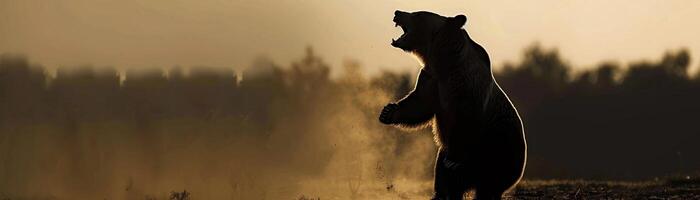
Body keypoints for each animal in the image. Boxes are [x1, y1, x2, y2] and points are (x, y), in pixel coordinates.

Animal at [380, 10, 528, 199]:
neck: (445, 64)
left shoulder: (466, 89)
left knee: (486, 185)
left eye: (417, 14)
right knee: (444, 178)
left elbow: (464, 119)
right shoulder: (432, 80)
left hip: (497, 152)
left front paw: (454, 161)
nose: (397, 12)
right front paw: (388, 112)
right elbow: (420, 105)